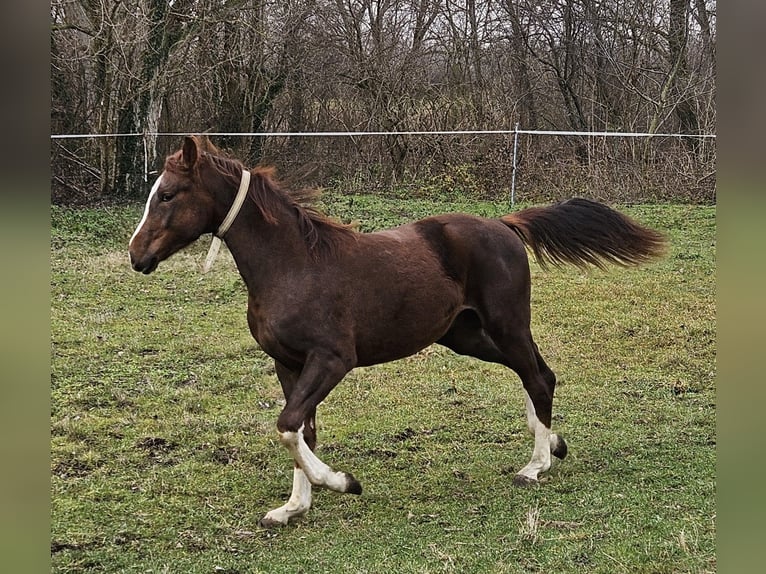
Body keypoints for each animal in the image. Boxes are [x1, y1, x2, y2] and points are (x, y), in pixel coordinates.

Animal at [130, 136, 664, 532]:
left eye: (168, 195)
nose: (137, 256)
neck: (292, 265)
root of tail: (504, 224)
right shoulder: (288, 364)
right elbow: (300, 429)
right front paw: (293, 508)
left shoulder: (332, 360)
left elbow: (287, 425)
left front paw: (343, 482)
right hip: (468, 337)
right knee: (539, 373)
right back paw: (552, 446)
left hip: (506, 324)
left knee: (536, 377)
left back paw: (534, 467)